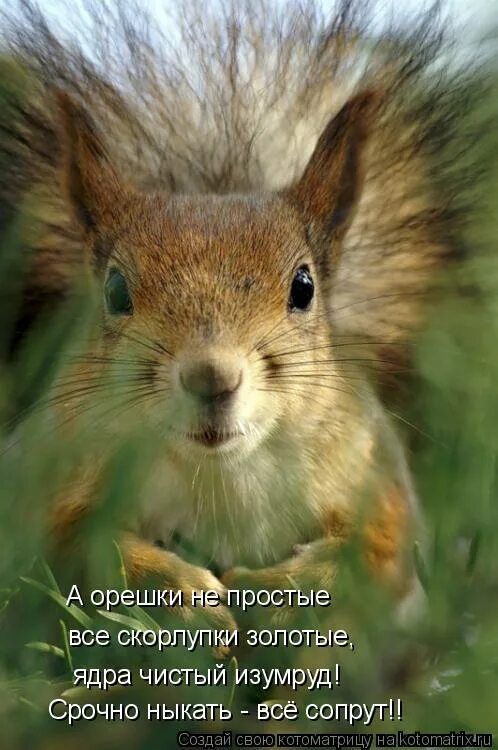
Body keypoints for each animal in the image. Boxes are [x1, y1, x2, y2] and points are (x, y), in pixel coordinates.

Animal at [0, 0, 469, 631]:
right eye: (116, 291)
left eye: (304, 287)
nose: (211, 377)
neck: (219, 472)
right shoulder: (46, 476)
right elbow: (75, 547)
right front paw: (186, 598)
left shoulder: (374, 475)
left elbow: (377, 552)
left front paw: (274, 591)